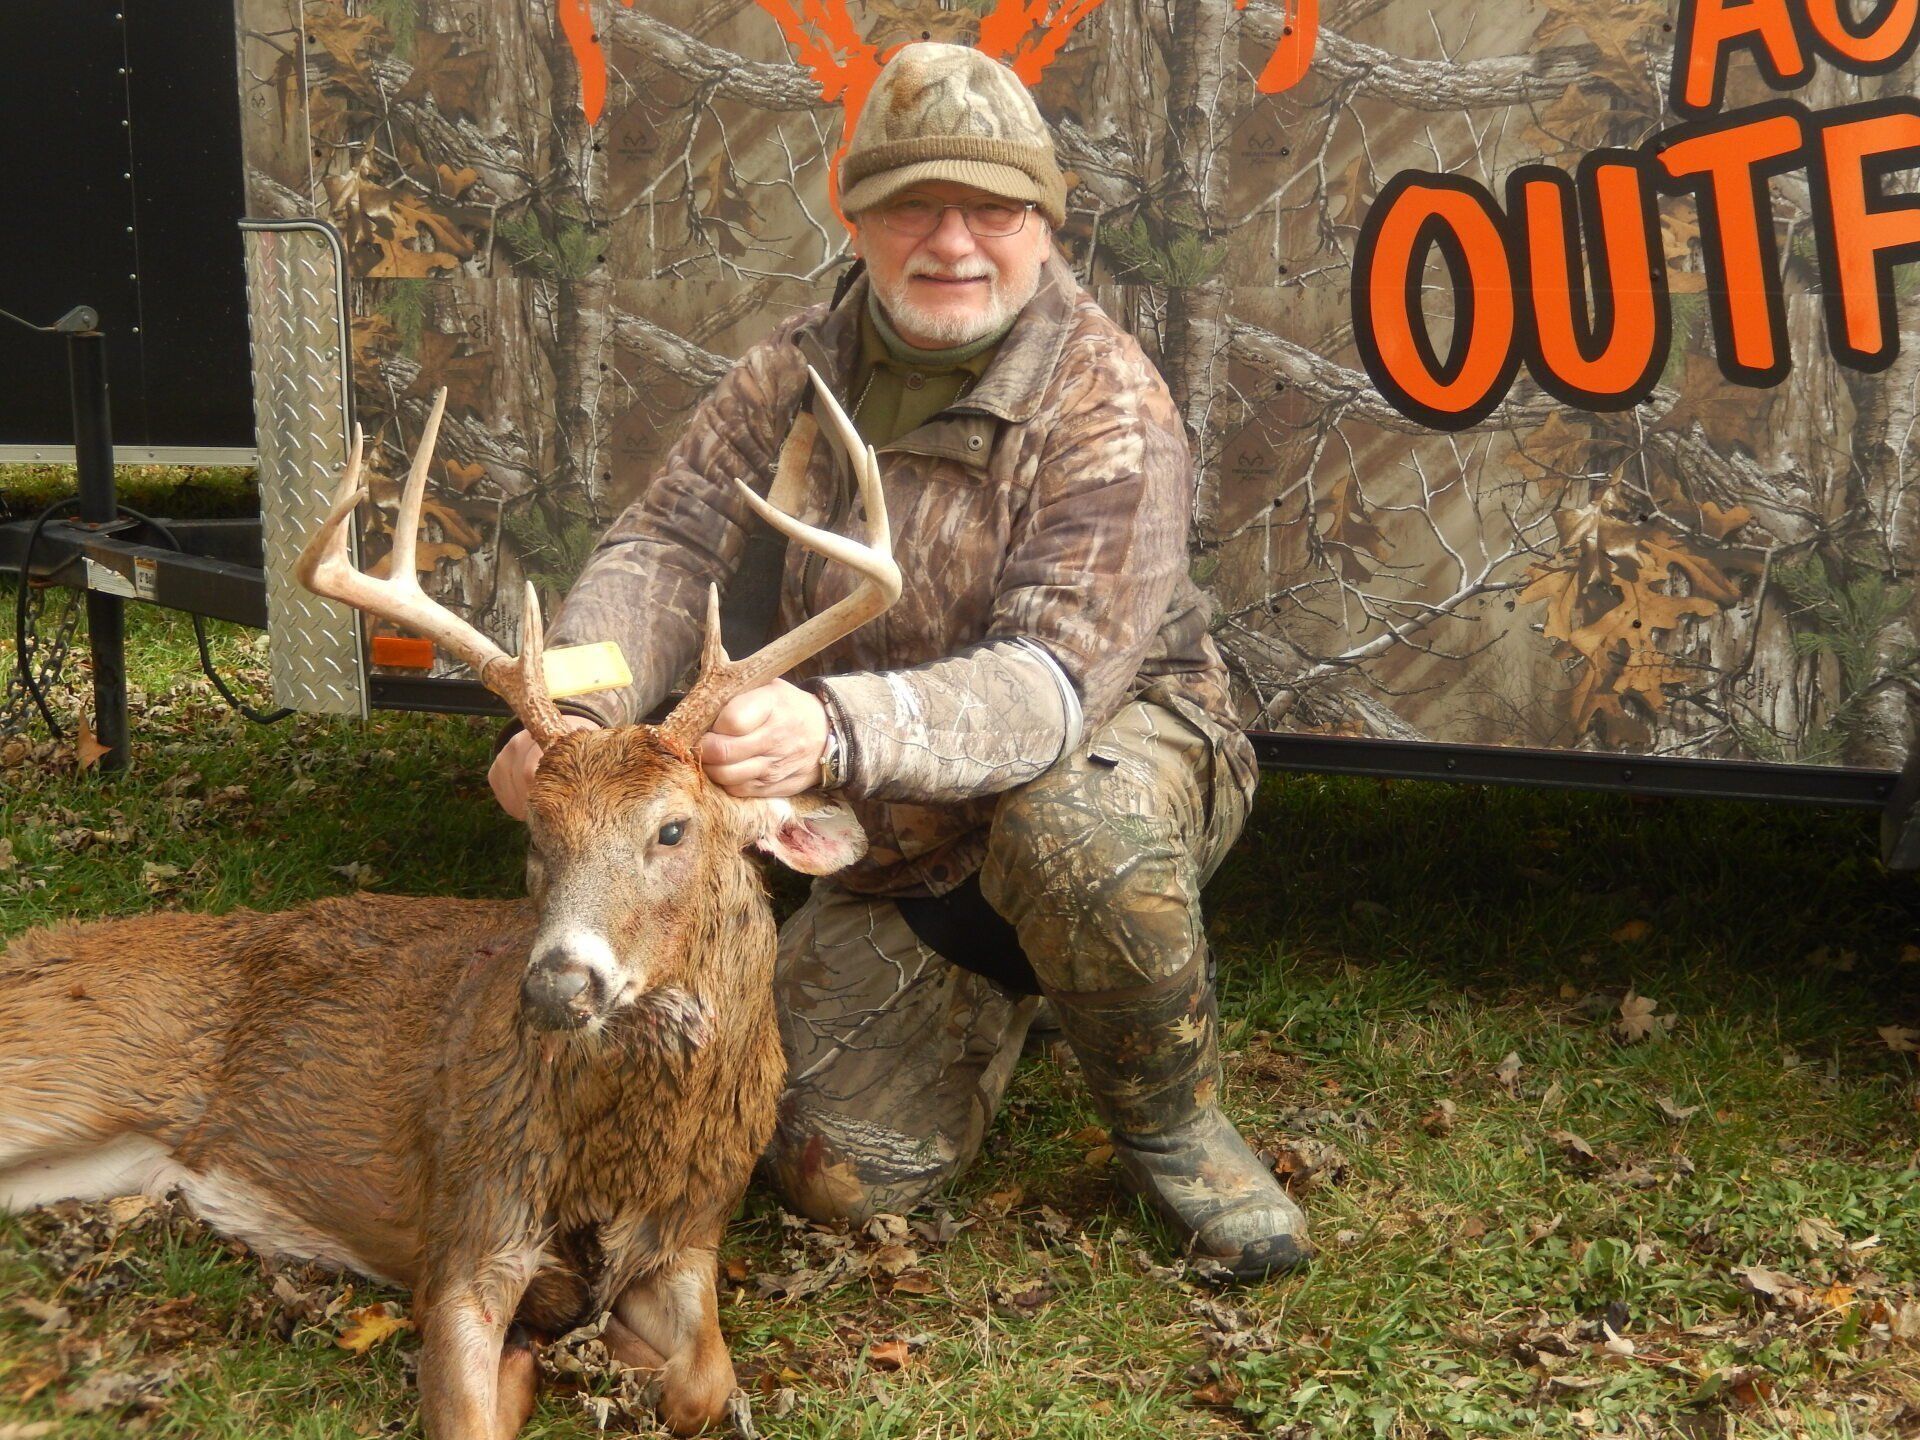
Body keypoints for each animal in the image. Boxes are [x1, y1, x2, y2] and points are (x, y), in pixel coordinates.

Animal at [0, 372, 900, 1439]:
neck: (621, 1154)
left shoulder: (690, 1235)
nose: (556, 985)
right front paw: (529, 1367)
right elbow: (473, 1405)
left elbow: (704, 1382)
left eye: (675, 830)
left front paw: (605, 1357)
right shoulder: (470, 1222)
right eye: (535, 838)